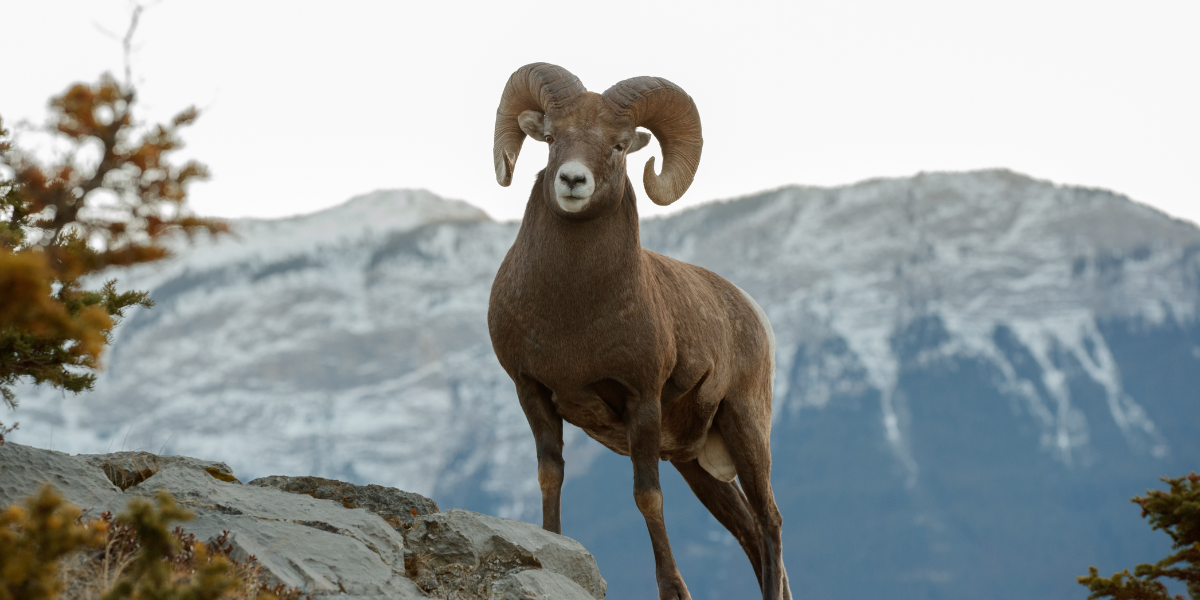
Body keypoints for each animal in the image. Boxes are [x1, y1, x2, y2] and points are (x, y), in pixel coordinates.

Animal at [484, 63, 787, 597]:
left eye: (619, 145)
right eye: (551, 138)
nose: (572, 180)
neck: (572, 314)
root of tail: (750, 310)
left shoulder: (641, 400)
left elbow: (648, 498)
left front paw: (674, 590)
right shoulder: (532, 392)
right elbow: (550, 477)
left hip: (746, 428)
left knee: (769, 523)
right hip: (698, 465)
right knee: (749, 531)